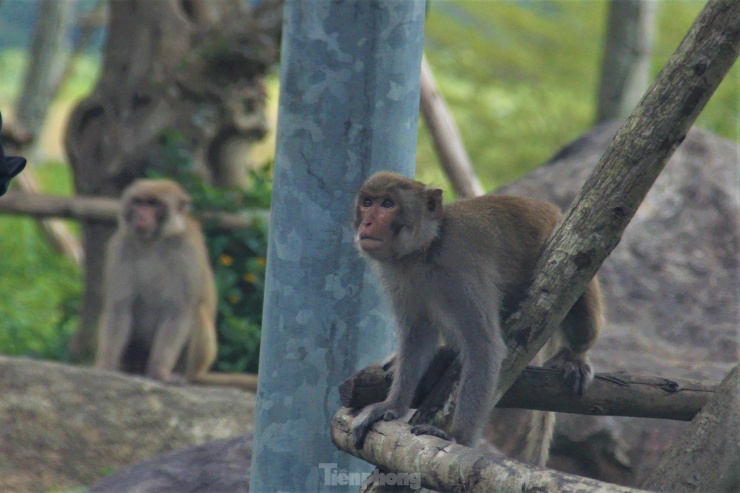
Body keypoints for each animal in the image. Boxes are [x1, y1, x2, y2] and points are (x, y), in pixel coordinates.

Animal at [95, 179, 258, 390]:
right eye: (138, 202)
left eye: (153, 204)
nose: (141, 215)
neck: (152, 242)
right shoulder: (121, 246)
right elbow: (119, 308)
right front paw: (106, 367)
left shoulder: (185, 250)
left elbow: (178, 310)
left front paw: (160, 373)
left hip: (194, 364)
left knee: (197, 311)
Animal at [352, 172, 600, 466]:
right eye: (367, 202)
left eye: (388, 204)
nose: (366, 222)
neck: (425, 250)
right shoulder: (398, 277)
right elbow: (418, 338)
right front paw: (392, 406)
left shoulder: (462, 266)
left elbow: (483, 347)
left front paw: (457, 436)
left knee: (580, 298)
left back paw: (576, 355)